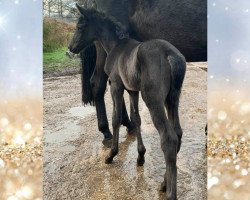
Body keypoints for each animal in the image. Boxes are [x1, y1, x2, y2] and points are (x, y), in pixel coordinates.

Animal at [68, 4, 186, 198]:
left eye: (80, 26)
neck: (116, 46)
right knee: (178, 133)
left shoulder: (116, 85)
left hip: (153, 99)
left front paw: (111, 154)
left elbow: (116, 118)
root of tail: (170, 55)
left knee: (168, 138)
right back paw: (163, 183)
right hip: (172, 98)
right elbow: (136, 119)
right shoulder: (132, 91)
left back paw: (169, 192)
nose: (71, 47)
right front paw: (140, 156)